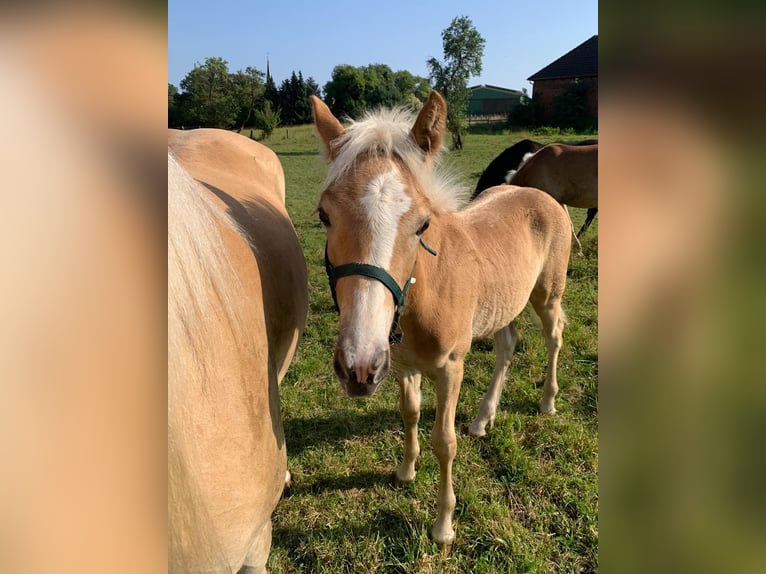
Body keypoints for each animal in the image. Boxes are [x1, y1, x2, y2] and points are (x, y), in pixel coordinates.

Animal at [310, 91, 568, 548]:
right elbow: (410, 413)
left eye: (422, 223)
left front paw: (443, 526)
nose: (357, 366)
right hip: (502, 303)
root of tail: (540, 195)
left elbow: (443, 441)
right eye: (324, 215)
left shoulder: (450, 368)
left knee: (553, 338)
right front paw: (405, 471)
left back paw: (547, 402)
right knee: (507, 345)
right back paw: (483, 419)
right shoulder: (401, 366)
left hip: (548, 296)